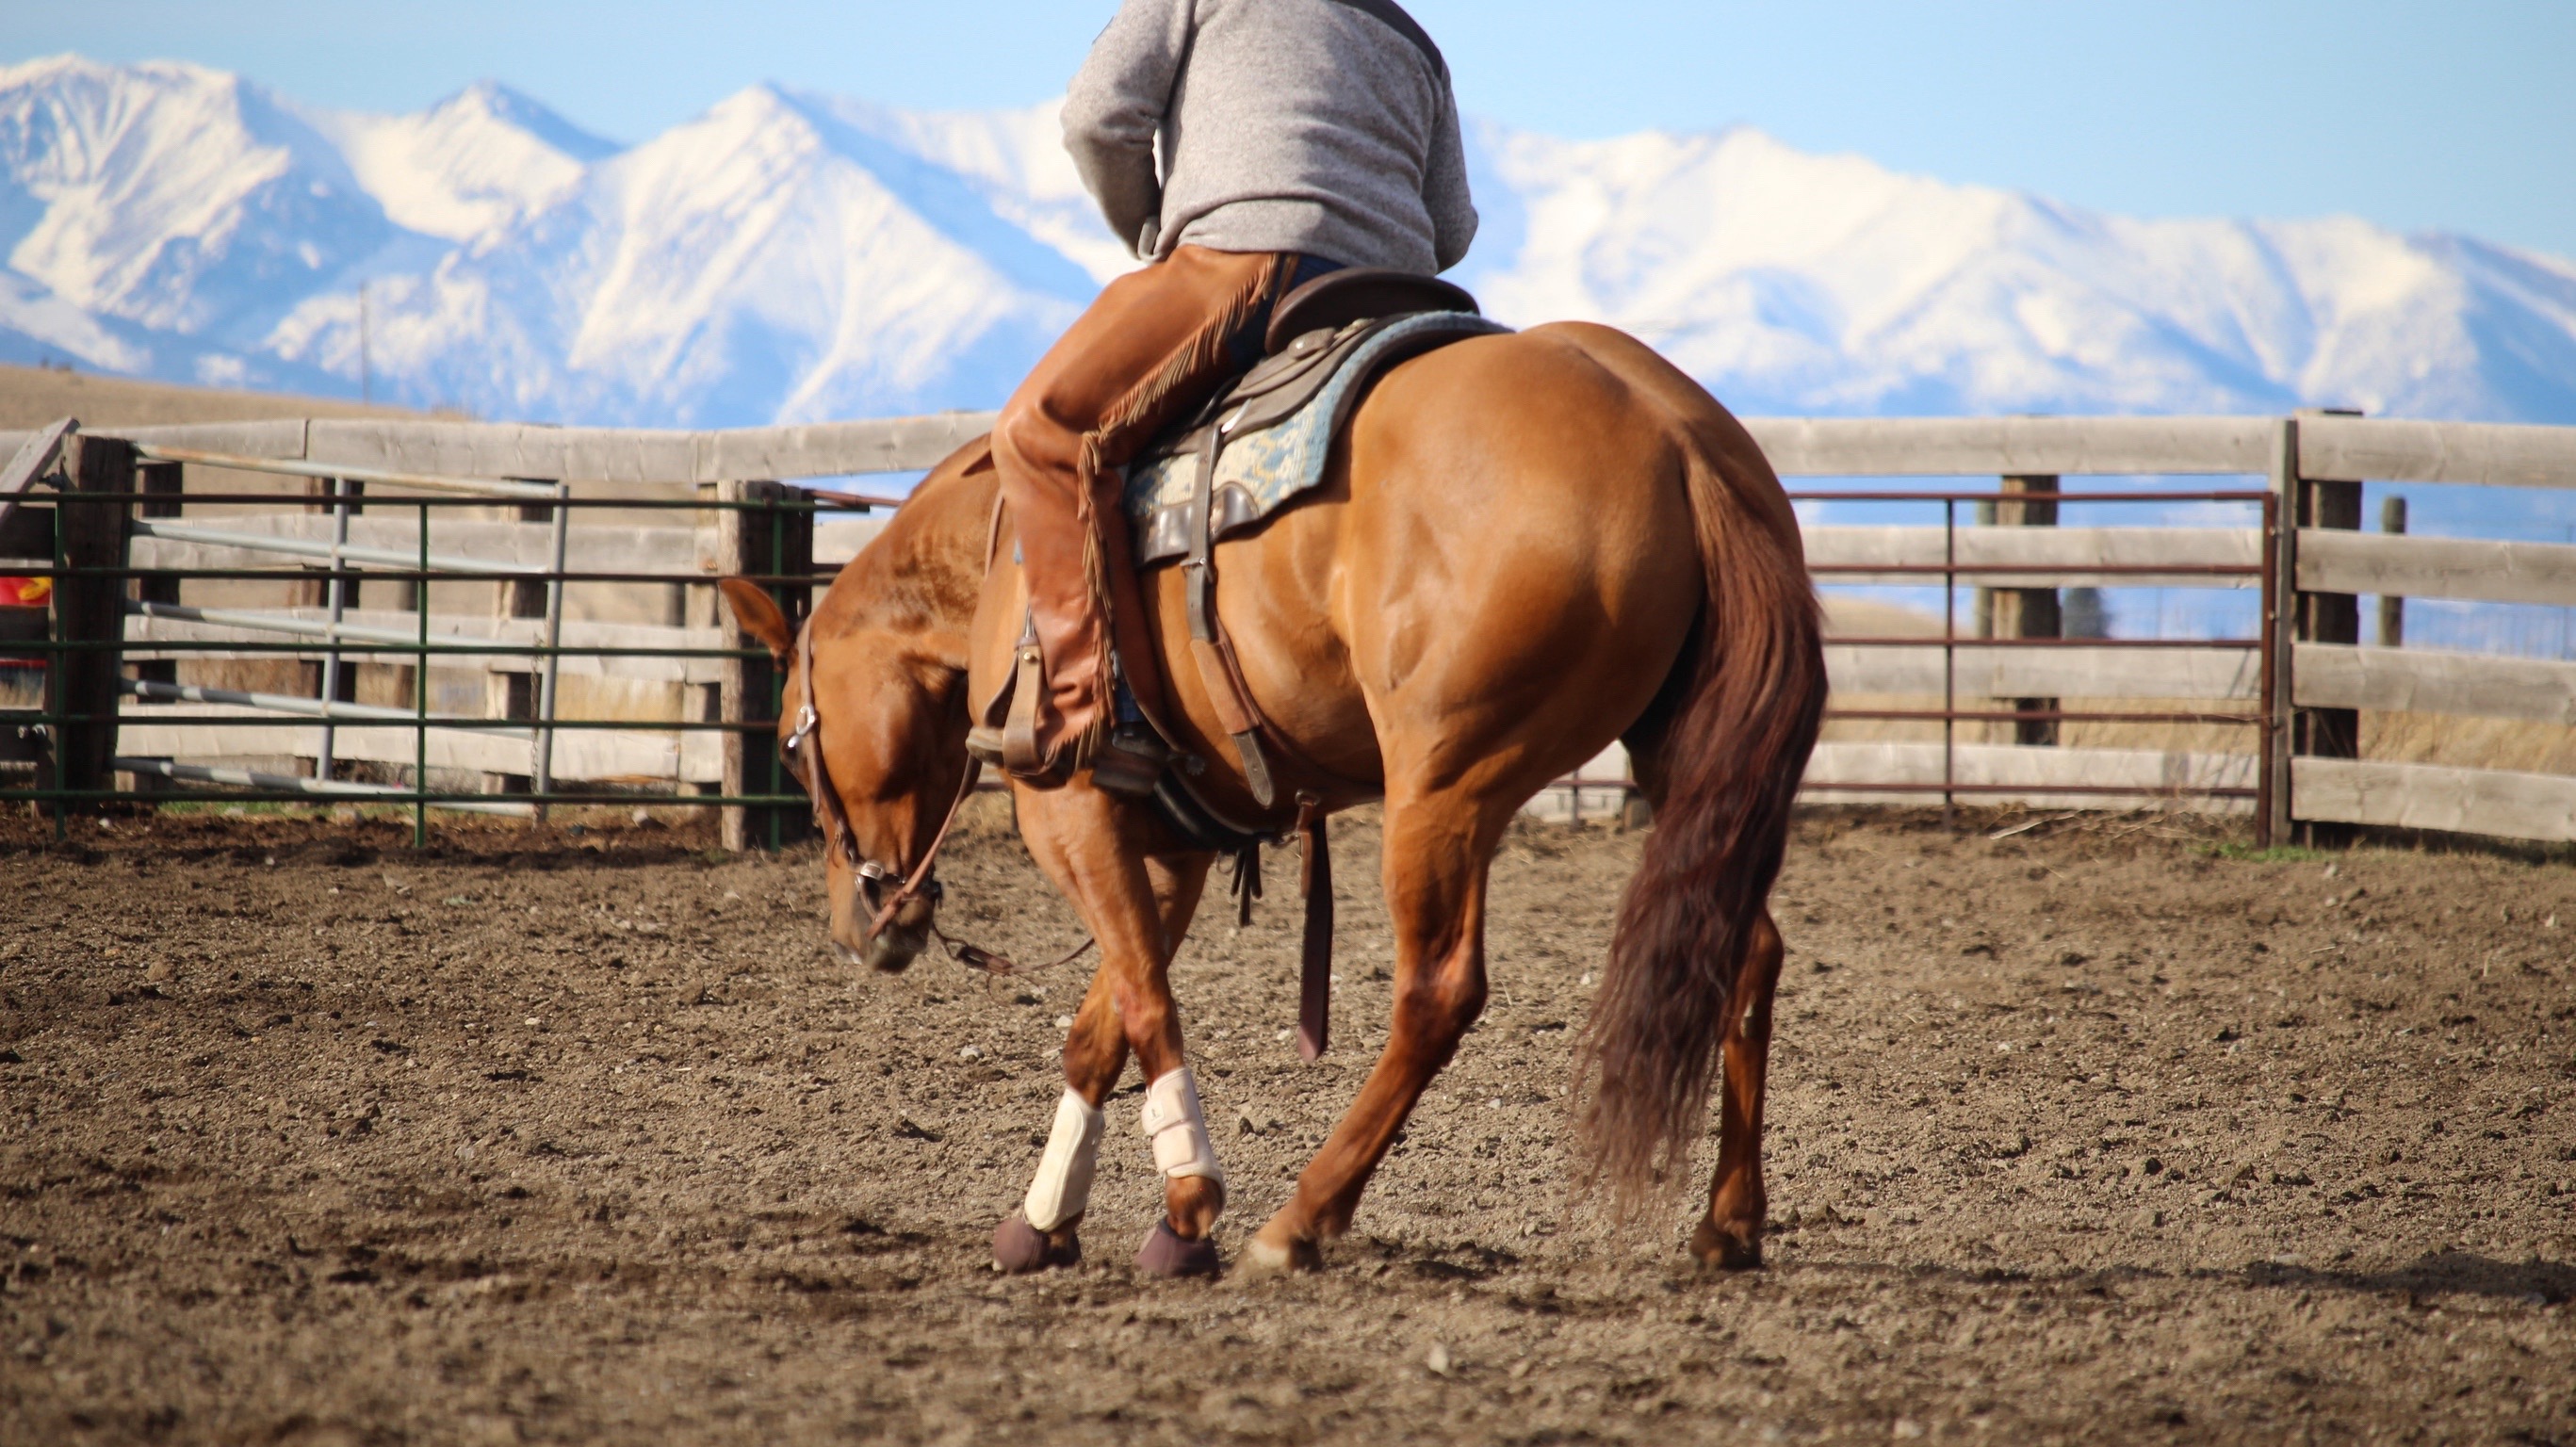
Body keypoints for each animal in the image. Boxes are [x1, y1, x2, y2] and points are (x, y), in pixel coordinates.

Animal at [719, 320, 1825, 1277]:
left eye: (793, 748)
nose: (860, 928)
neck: (1002, 565)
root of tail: (1671, 434)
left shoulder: (1072, 815)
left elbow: (1145, 1002)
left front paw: (1188, 1206)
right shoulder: (1171, 846)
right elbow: (1101, 1024)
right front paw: (1044, 1220)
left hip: (1445, 788)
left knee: (1437, 993)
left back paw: (1298, 1220)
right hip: (1680, 763)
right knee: (1744, 948)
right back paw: (1729, 1221)